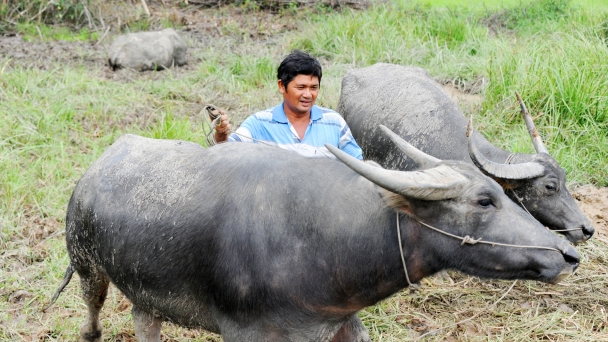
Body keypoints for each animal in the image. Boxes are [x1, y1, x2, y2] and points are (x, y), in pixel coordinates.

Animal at [50, 132, 576, 340]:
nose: (568, 254)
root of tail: (94, 172)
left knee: (144, 319)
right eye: (485, 201)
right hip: (87, 265)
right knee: (93, 312)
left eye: (504, 194)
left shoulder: (340, 323)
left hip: (145, 291)